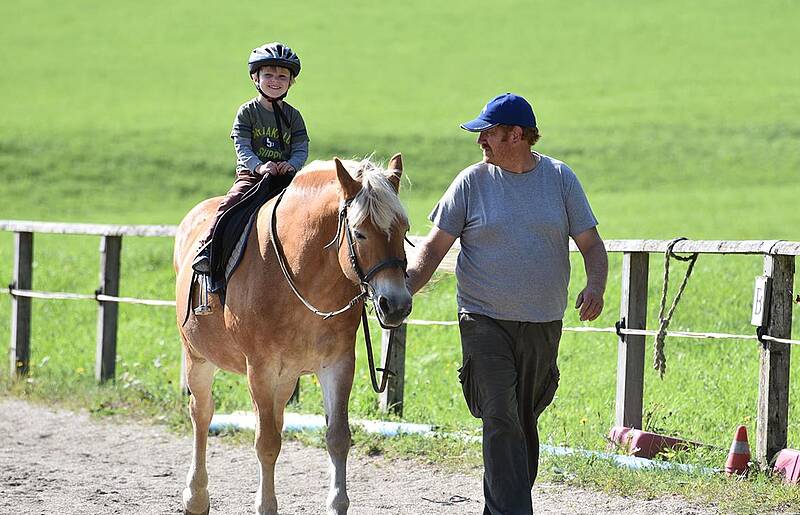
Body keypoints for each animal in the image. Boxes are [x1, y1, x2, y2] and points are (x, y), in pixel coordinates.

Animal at [173, 155, 412, 512]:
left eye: (404, 229)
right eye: (360, 233)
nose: (395, 304)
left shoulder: (338, 365)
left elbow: (338, 437)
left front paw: (337, 504)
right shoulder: (260, 370)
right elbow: (266, 443)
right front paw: (265, 505)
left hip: (285, 378)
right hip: (198, 357)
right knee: (201, 414)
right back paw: (196, 496)